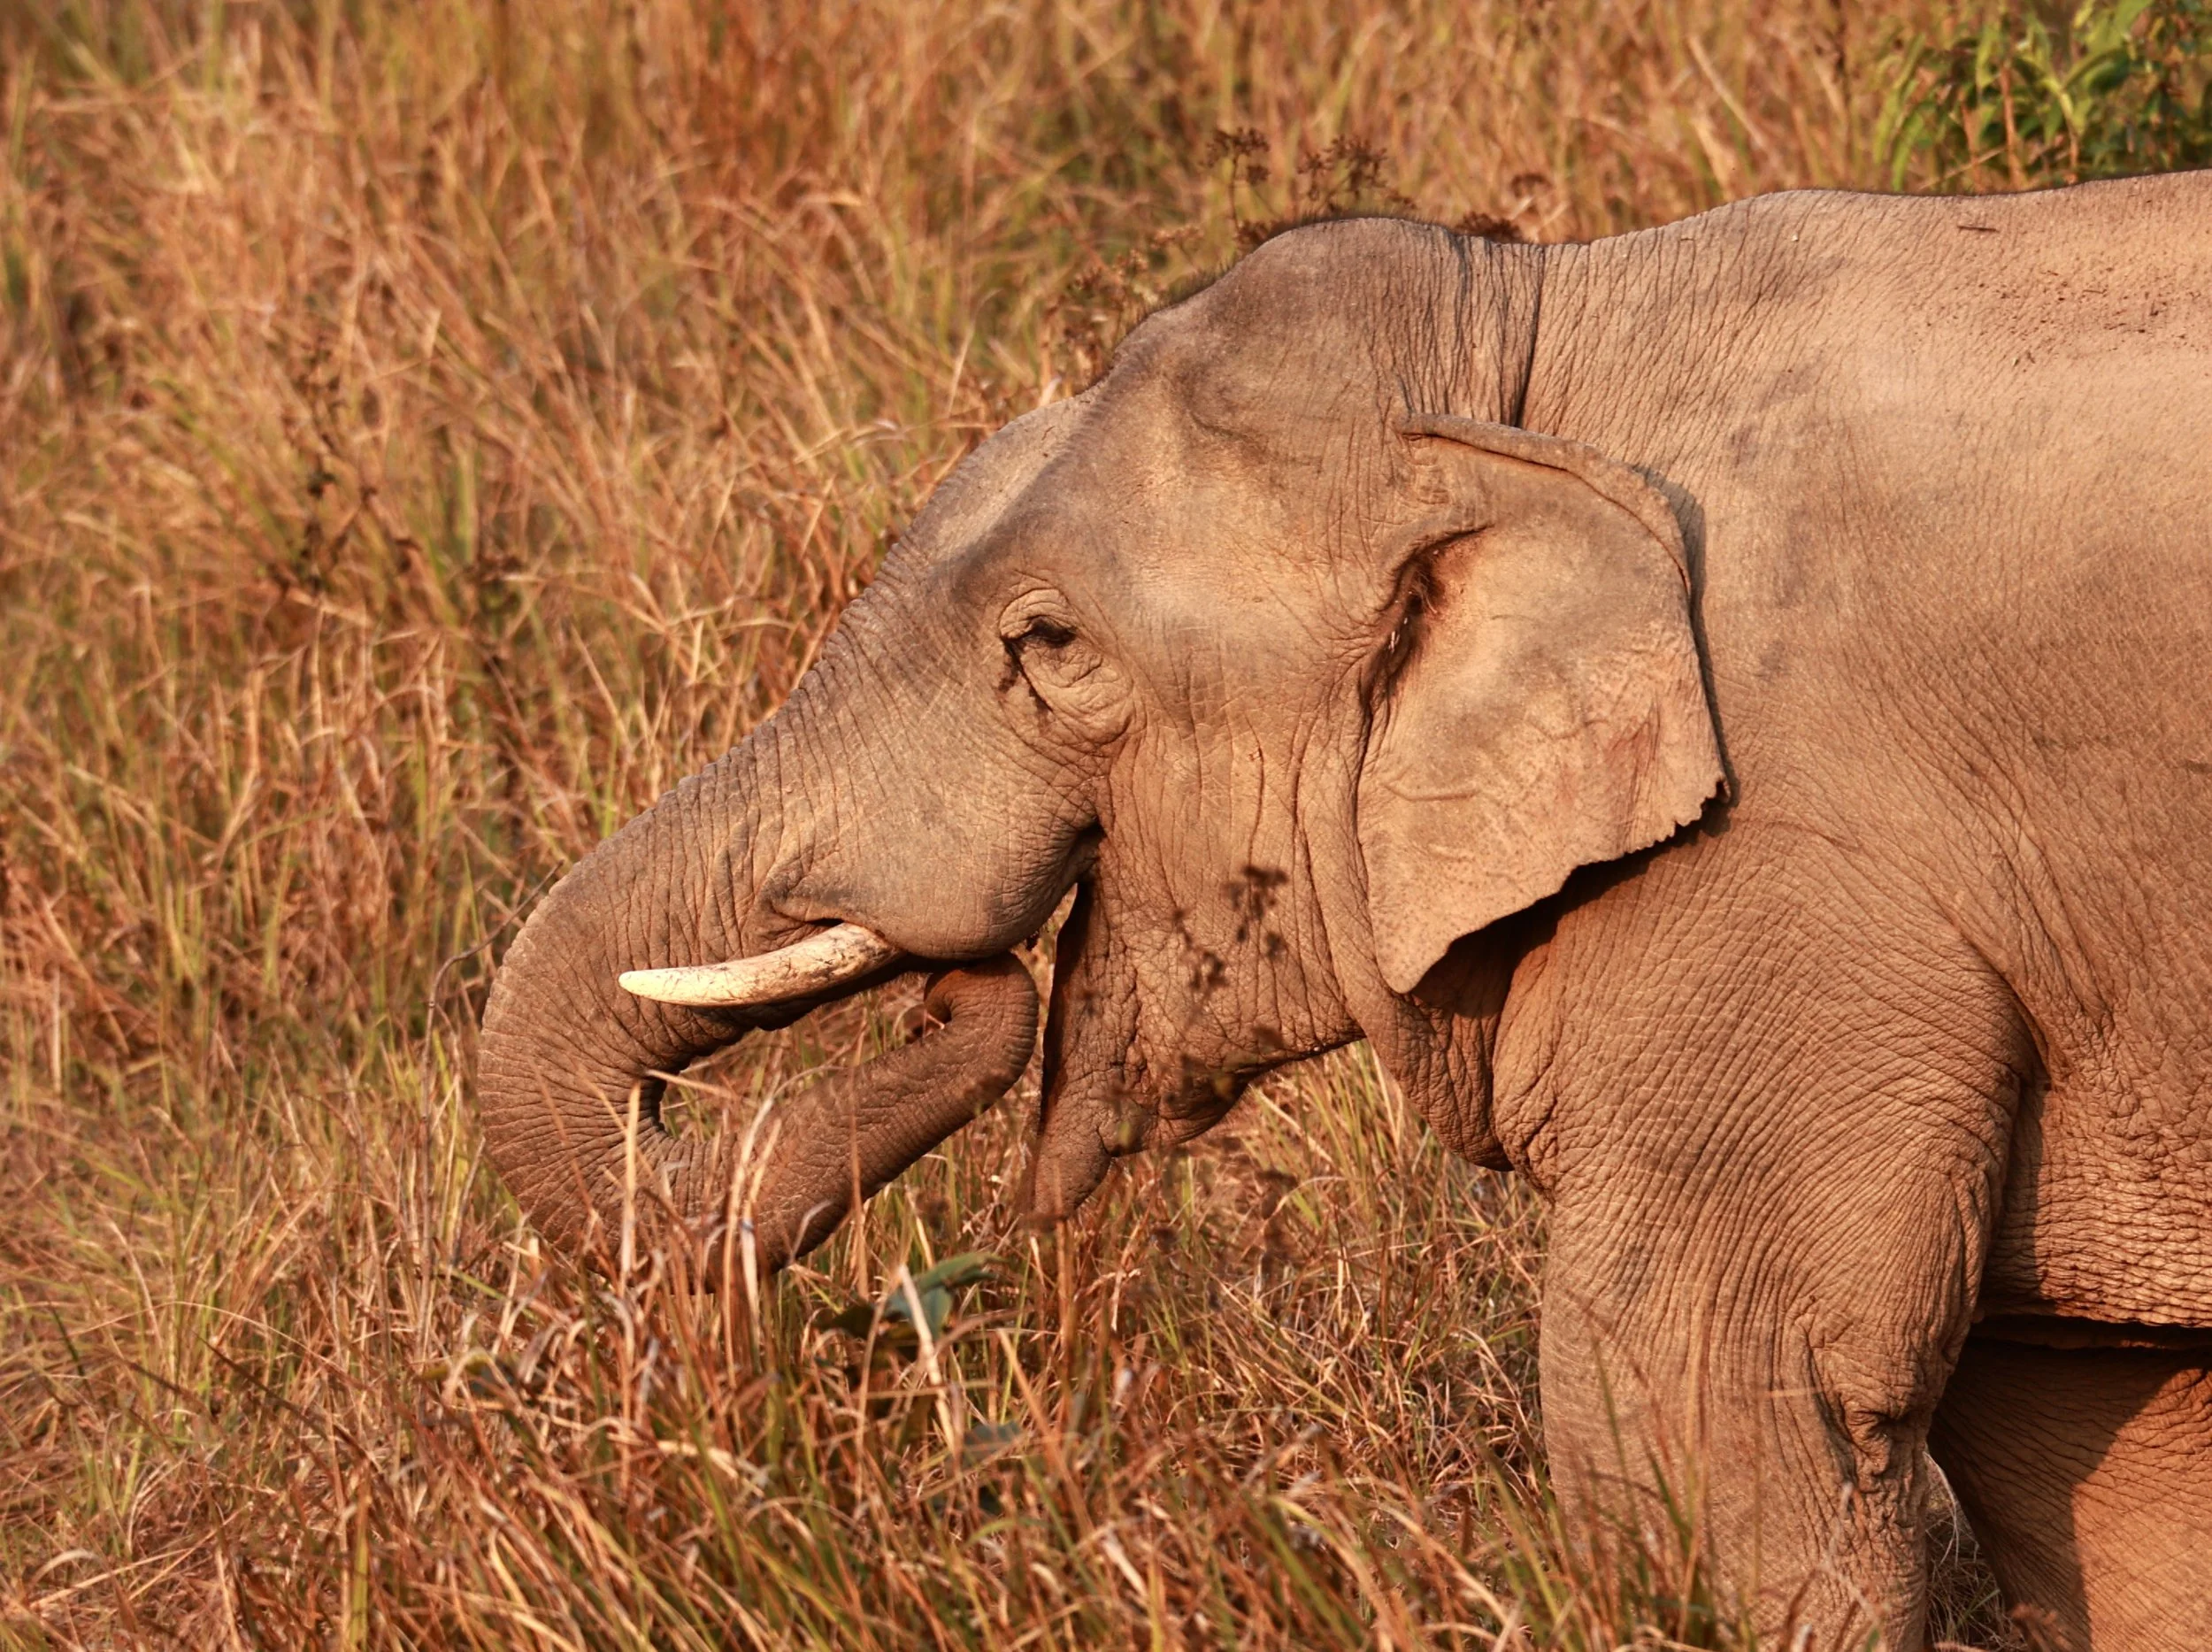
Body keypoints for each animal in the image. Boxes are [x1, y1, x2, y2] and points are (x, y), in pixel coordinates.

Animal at [476, 169, 2212, 1647]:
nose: (955, 984)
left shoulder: (1781, 880)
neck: (1534, 345)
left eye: (1049, 646)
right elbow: (2106, 1457)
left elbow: (1706, 1413)